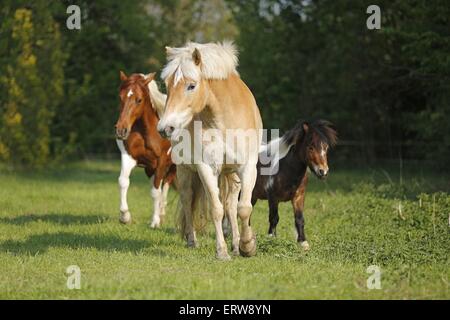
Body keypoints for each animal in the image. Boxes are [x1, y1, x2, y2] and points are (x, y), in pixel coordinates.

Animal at [115, 72, 177, 228]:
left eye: (139, 100)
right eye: (120, 97)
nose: (121, 130)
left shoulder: (162, 161)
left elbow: (155, 191)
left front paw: (154, 222)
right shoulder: (129, 157)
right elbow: (123, 181)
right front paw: (125, 217)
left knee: (165, 184)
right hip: (150, 169)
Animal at [158, 41, 264, 260]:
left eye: (191, 85)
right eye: (167, 85)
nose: (165, 128)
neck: (223, 120)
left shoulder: (247, 168)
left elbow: (243, 208)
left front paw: (246, 246)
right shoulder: (206, 168)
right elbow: (216, 209)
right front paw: (222, 252)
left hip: (231, 174)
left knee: (231, 206)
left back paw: (236, 244)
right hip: (184, 170)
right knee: (188, 200)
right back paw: (192, 241)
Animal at [251, 119, 336, 250]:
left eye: (326, 147)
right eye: (311, 147)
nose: (323, 172)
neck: (285, 168)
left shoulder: (298, 197)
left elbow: (299, 219)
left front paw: (303, 243)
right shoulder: (273, 198)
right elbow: (274, 218)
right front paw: (271, 239)